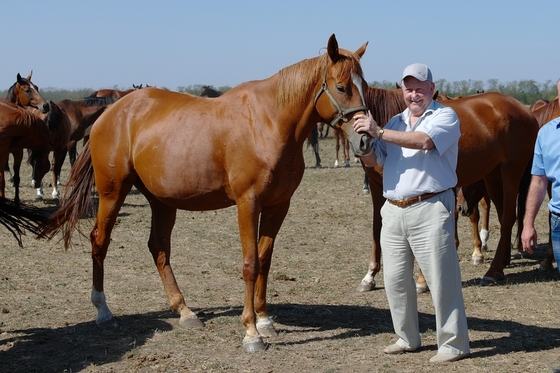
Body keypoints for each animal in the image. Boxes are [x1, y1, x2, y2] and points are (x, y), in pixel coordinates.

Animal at [41, 35, 370, 352]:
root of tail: (111, 112)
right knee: (100, 241)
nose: (365, 139)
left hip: (161, 201)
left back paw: (185, 311)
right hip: (112, 193)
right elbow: (250, 263)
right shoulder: (248, 203)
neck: (269, 123)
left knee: (158, 248)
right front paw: (251, 333)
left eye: (365, 86)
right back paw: (103, 309)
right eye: (341, 87)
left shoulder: (278, 205)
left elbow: (265, 260)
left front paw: (264, 320)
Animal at [354, 88, 540, 290]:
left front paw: (424, 278)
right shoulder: (378, 186)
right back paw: (500, 266)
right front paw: (370, 276)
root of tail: (526, 111)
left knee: (508, 217)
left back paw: (491, 272)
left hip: (511, 171)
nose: (363, 142)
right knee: (503, 215)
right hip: (494, 176)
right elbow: (378, 226)